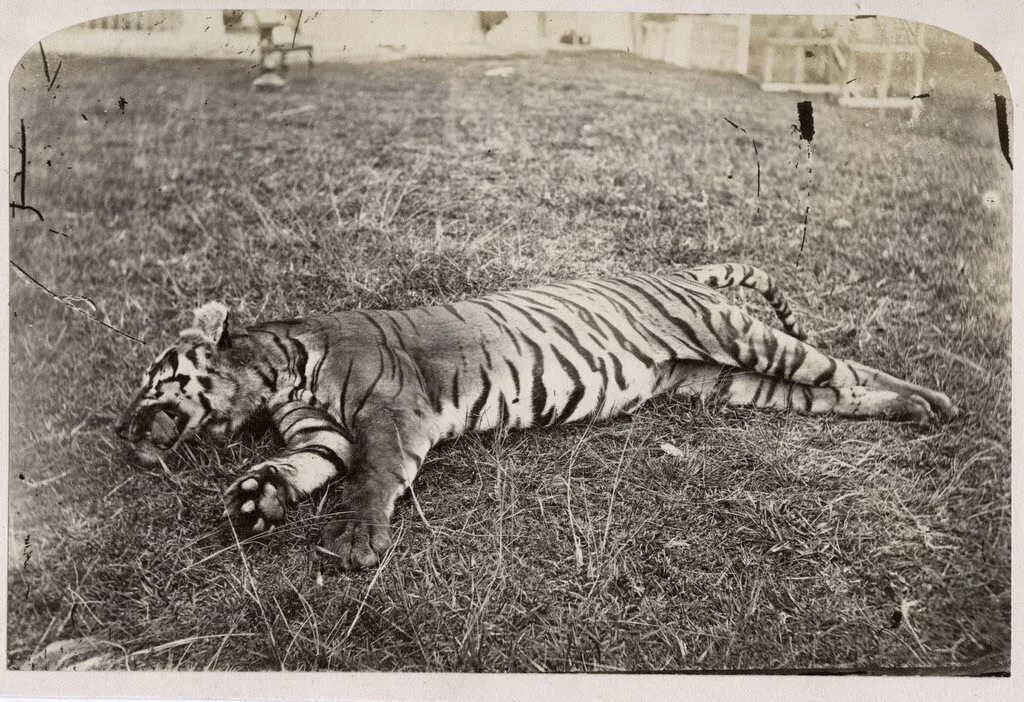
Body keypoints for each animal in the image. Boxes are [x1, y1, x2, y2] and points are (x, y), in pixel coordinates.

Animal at [115, 263, 956, 570]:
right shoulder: (322, 437)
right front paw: (256, 500)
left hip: (741, 339)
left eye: (154, 380)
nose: (119, 433)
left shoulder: (392, 415)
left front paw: (357, 544)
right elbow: (299, 467)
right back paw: (914, 411)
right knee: (841, 393)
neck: (275, 374)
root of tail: (677, 268)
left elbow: (373, 480)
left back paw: (938, 403)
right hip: (729, 382)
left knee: (848, 368)